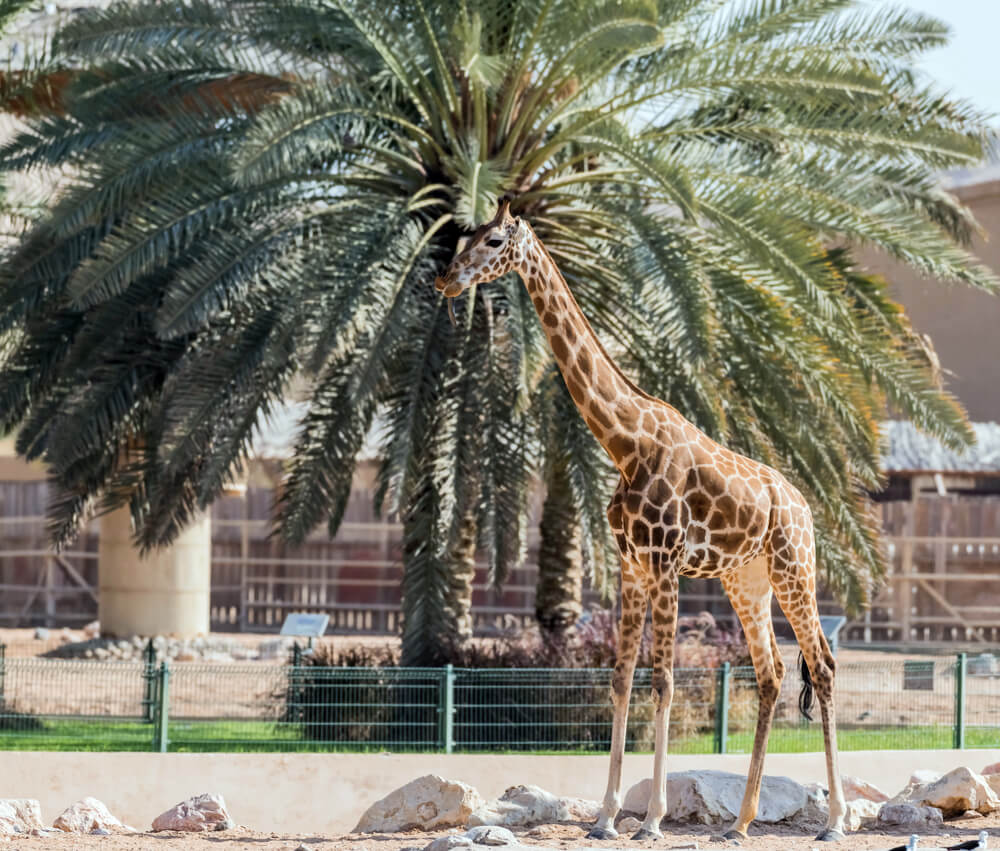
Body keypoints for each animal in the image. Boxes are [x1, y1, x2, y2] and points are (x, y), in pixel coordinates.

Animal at [434, 196, 848, 844]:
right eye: (465, 236)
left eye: (495, 240)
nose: (445, 280)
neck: (624, 442)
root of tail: (804, 505)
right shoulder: (631, 567)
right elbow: (621, 679)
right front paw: (605, 818)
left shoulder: (665, 564)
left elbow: (664, 682)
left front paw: (651, 819)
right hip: (746, 579)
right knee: (773, 672)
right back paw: (740, 824)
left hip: (793, 569)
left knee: (823, 666)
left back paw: (833, 821)